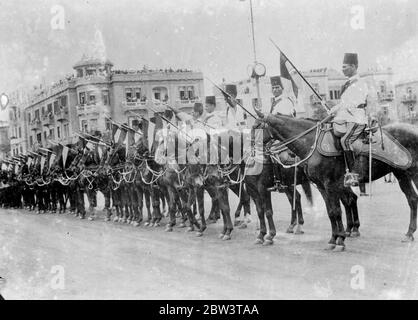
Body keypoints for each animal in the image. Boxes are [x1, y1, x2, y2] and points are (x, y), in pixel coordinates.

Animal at [256, 111, 418, 251]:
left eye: (256, 127)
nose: (253, 150)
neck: (311, 142)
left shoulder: (330, 185)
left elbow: (336, 210)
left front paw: (340, 240)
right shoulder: (322, 187)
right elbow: (331, 212)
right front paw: (334, 239)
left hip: (413, 172)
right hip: (401, 174)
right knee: (412, 199)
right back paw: (409, 233)